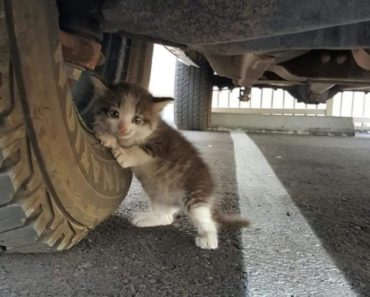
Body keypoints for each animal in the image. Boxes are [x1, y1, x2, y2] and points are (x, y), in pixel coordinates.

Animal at [91, 77, 250, 249]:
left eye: (137, 119)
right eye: (114, 114)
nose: (122, 128)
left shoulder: (162, 144)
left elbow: (139, 150)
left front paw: (123, 152)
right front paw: (107, 136)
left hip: (196, 193)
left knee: (204, 218)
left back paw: (208, 238)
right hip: (158, 194)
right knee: (166, 218)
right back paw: (148, 218)